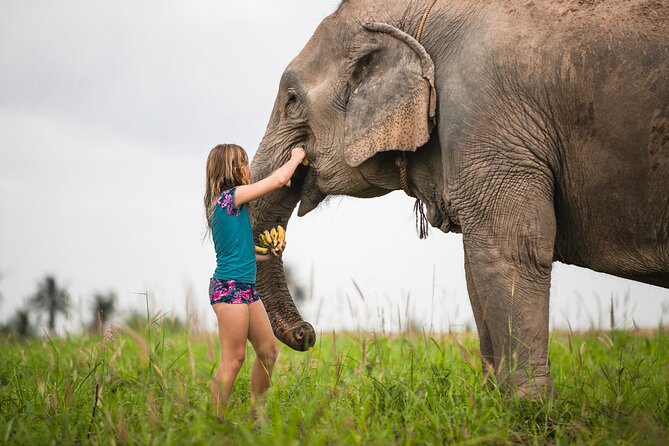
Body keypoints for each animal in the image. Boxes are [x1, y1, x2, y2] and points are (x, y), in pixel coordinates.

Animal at [249, 0, 668, 398]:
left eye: (292, 101)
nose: (308, 334)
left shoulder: (490, 117)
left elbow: (510, 250)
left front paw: (529, 408)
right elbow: (474, 266)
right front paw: (495, 403)